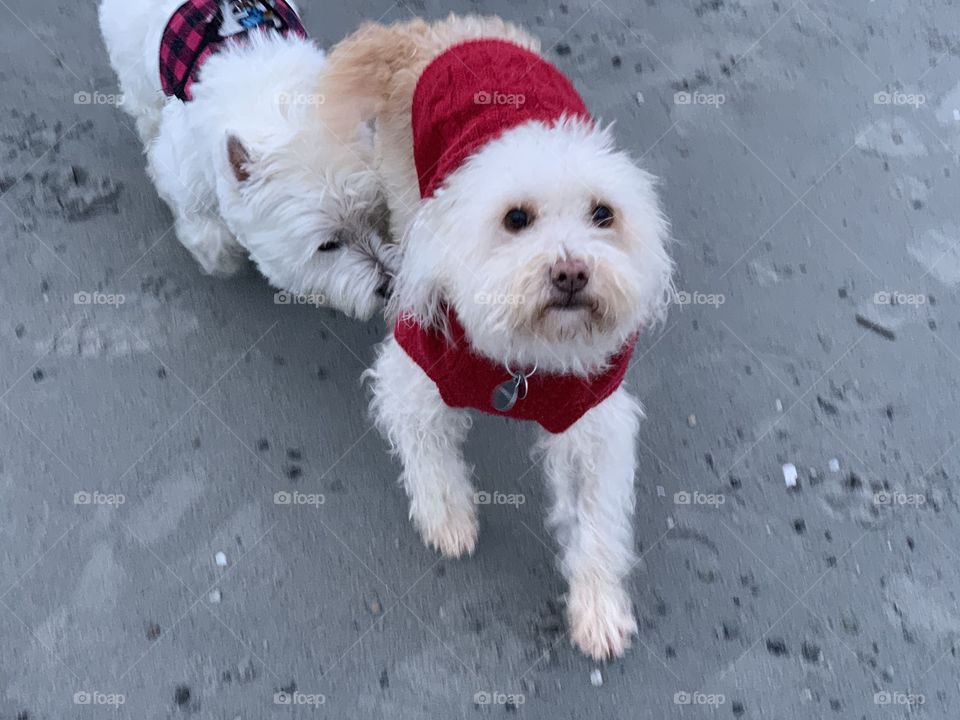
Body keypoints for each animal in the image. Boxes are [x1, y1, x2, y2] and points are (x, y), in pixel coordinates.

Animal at [326, 16, 672, 660]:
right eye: (516, 219)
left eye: (604, 215)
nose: (572, 273)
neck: (526, 358)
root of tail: (430, 32)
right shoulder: (414, 369)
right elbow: (430, 457)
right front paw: (448, 518)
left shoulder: (593, 416)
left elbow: (597, 519)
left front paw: (599, 606)